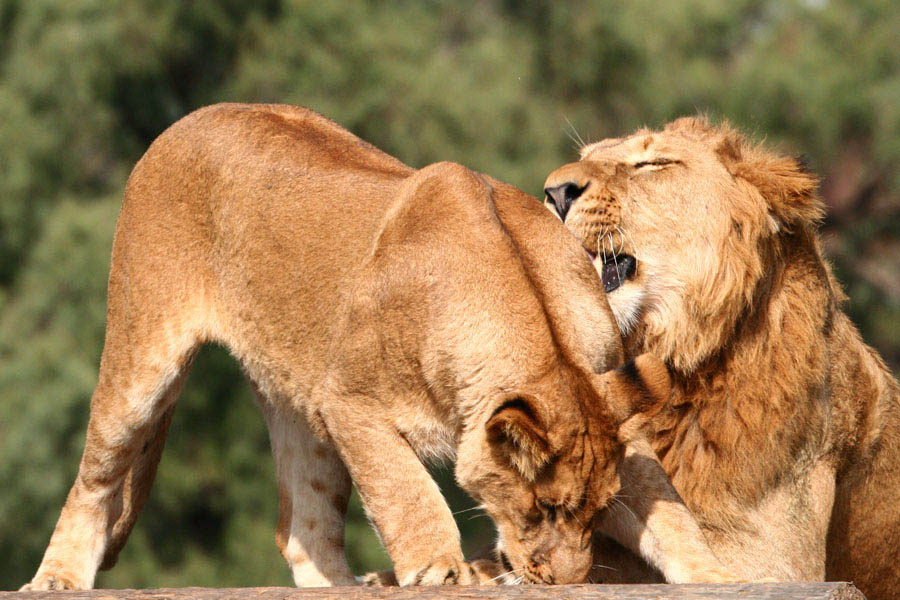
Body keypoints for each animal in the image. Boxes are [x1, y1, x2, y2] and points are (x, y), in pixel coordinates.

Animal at [23, 104, 736, 590]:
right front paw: (441, 569)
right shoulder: (350, 400)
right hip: (143, 355)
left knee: (301, 524)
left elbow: (668, 509)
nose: (564, 581)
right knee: (97, 473)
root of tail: (192, 116)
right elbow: (407, 494)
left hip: (297, 399)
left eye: (595, 512)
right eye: (543, 508)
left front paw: (716, 575)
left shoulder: (613, 400)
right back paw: (56, 577)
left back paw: (344, 586)